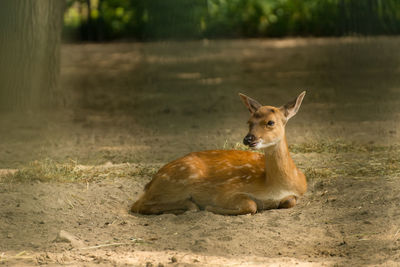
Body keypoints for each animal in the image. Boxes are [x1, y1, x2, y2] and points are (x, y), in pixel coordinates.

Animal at [131, 92, 306, 216]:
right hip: (180, 179)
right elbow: (251, 204)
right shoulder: (226, 191)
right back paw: (190, 205)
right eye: (249, 122)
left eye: (270, 122)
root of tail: (151, 183)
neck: (275, 187)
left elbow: (290, 201)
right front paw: (210, 207)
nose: (248, 139)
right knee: (138, 205)